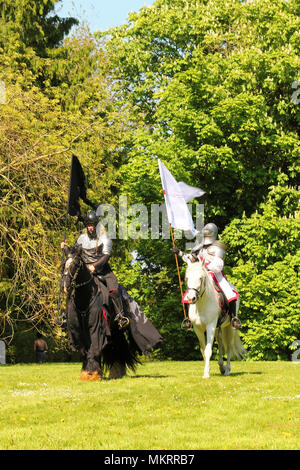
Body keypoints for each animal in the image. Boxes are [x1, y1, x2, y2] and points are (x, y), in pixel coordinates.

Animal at [61, 244, 163, 380]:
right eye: (64, 264)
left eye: (76, 264)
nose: (65, 286)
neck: (86, 298)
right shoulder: (79, 331)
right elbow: (86, 350)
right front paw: (87, 372)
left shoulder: (96, 327)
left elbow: (94, 346)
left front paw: (92, 373)